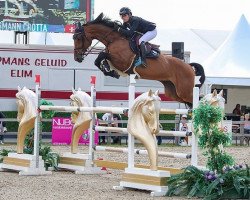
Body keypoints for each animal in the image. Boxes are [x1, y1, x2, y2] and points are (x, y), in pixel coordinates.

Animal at [72, 12, 205, 107]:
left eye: (78, 38)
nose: (77, 58)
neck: (114, 39)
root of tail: (189, 66)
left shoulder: (122, 61)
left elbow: (102, 56)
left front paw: (111, 72)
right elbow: (99, 59)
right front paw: (110, 71)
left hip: (185, 90)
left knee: (198, 99)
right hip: (173, 92)